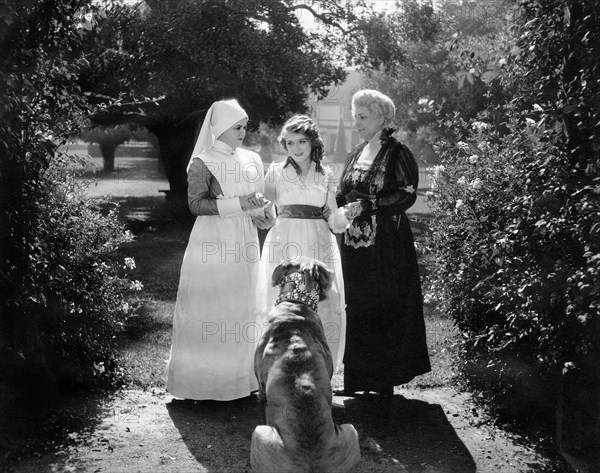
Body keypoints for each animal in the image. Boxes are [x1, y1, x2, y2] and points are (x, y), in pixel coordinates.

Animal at [250, 258, 358, 472]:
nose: (333, 274)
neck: (294, 305)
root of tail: (311, 463)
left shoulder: (262, 390)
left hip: (259, 433)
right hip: (351, 429)